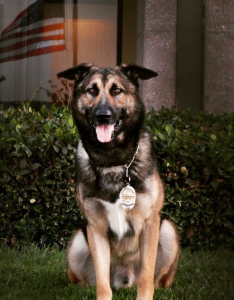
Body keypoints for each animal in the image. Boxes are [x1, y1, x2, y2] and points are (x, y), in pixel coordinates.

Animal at [57, 63, 179, 300]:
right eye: (91, 90)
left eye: (117, 90)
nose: (103, 116)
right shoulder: (95, 228)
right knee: (85, 280)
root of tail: (124, 281)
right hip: (78, 241)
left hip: (167, 231)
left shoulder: (150, 222)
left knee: (157, 280)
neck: (112, 161)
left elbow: (146, 277)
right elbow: (103, 284)